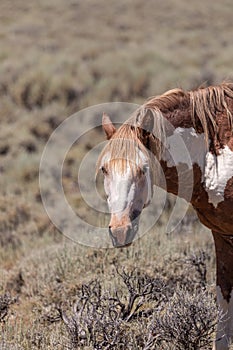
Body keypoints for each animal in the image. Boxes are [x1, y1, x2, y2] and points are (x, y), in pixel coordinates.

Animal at [96, 83, 233, 348]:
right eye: (104, 169)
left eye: (143, 169)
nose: (120, 231)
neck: (213, 153)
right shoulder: (222, 235)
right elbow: (224, 298)